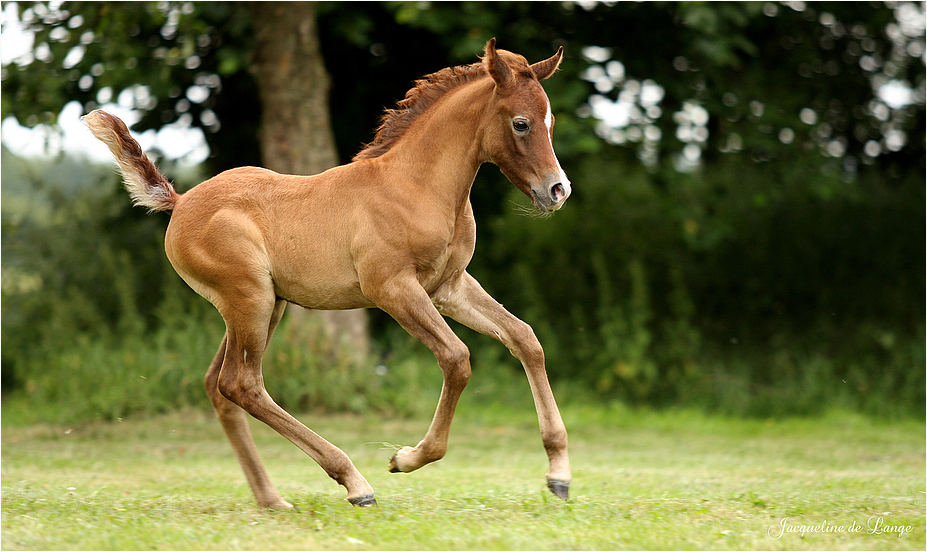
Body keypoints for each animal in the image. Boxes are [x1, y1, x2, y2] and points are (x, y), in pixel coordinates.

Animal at [81, 37, 572, 504]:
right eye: (521, 123)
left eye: (550, 123)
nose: (557, 190)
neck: (416, 186)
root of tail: (180, 203)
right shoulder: (392, 289)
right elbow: (457, 358)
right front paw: (406, 458)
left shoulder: (448, 286)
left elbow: (525, 339)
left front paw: (559, 474)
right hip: (250, 299)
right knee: (242, 384)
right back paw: (354, 482)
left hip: (265, 306)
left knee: (218, 386)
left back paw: (272, 500)